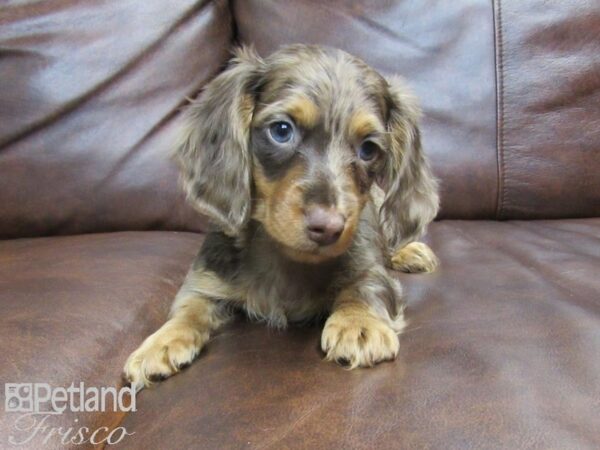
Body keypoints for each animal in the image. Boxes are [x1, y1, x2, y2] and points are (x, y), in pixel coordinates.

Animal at [123, 46, 440, 390]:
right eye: (282, 130)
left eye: (369, 149)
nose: (329, 228)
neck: (285, 258)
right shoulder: (207, 276)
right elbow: (189, 306)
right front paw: (160, 342)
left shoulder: (371, 269)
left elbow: (364, 287)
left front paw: (359, 324)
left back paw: (411, 251)